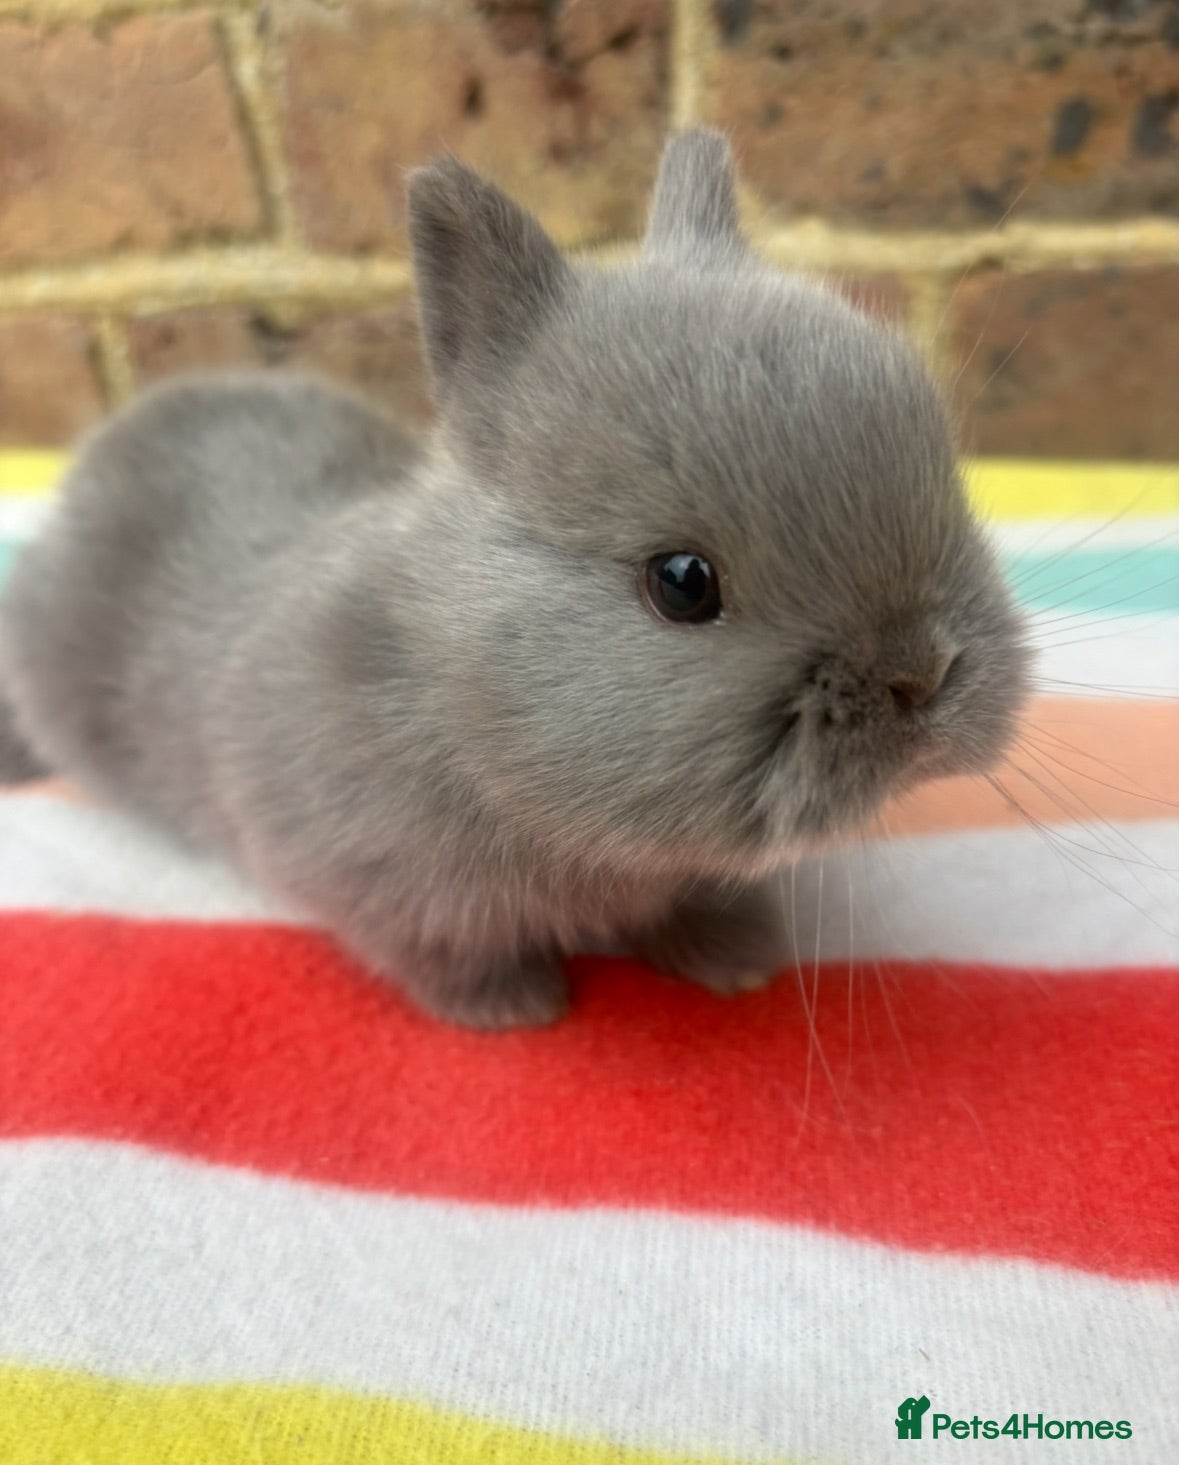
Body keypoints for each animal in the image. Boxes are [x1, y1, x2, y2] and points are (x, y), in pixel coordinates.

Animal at [0, 130, 1030, 1029]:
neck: (455, 685)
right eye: (682, 582)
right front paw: (514, 1010)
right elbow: (441, 954)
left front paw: (734, 960)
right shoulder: (383, 887)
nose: (921, 676)